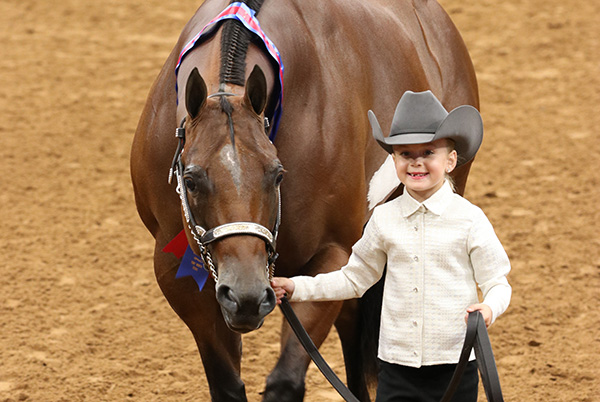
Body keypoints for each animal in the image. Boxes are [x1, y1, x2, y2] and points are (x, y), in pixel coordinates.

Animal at [130, 1, 478, 400]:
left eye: (278, 174)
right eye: (190, 180)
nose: (246, 296)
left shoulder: (331, 253)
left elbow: (286, 381)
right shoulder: (179, 274)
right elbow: (227, 385)